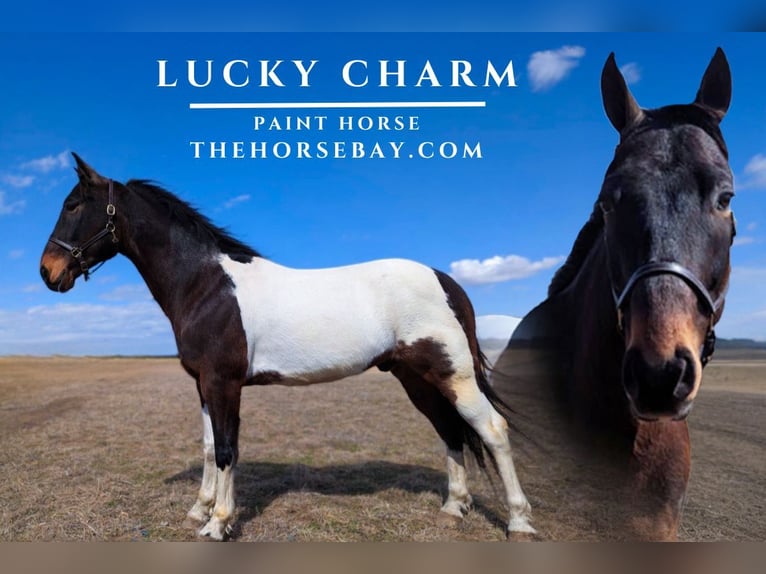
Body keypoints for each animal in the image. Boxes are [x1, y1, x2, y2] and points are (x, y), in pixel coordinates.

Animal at [39, 154, 535, 541]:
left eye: (72, 205)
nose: (48, 271)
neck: (207, 285)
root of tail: (446, 280)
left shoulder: (224, 383)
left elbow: (227, 449)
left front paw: (218, 523)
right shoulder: (202, 385)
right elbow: (208, 447)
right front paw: (199, 510)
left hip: (454, 374)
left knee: (492, 430)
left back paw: (519, 522)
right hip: (416, 379)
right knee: (450, 431)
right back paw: (453, 508)